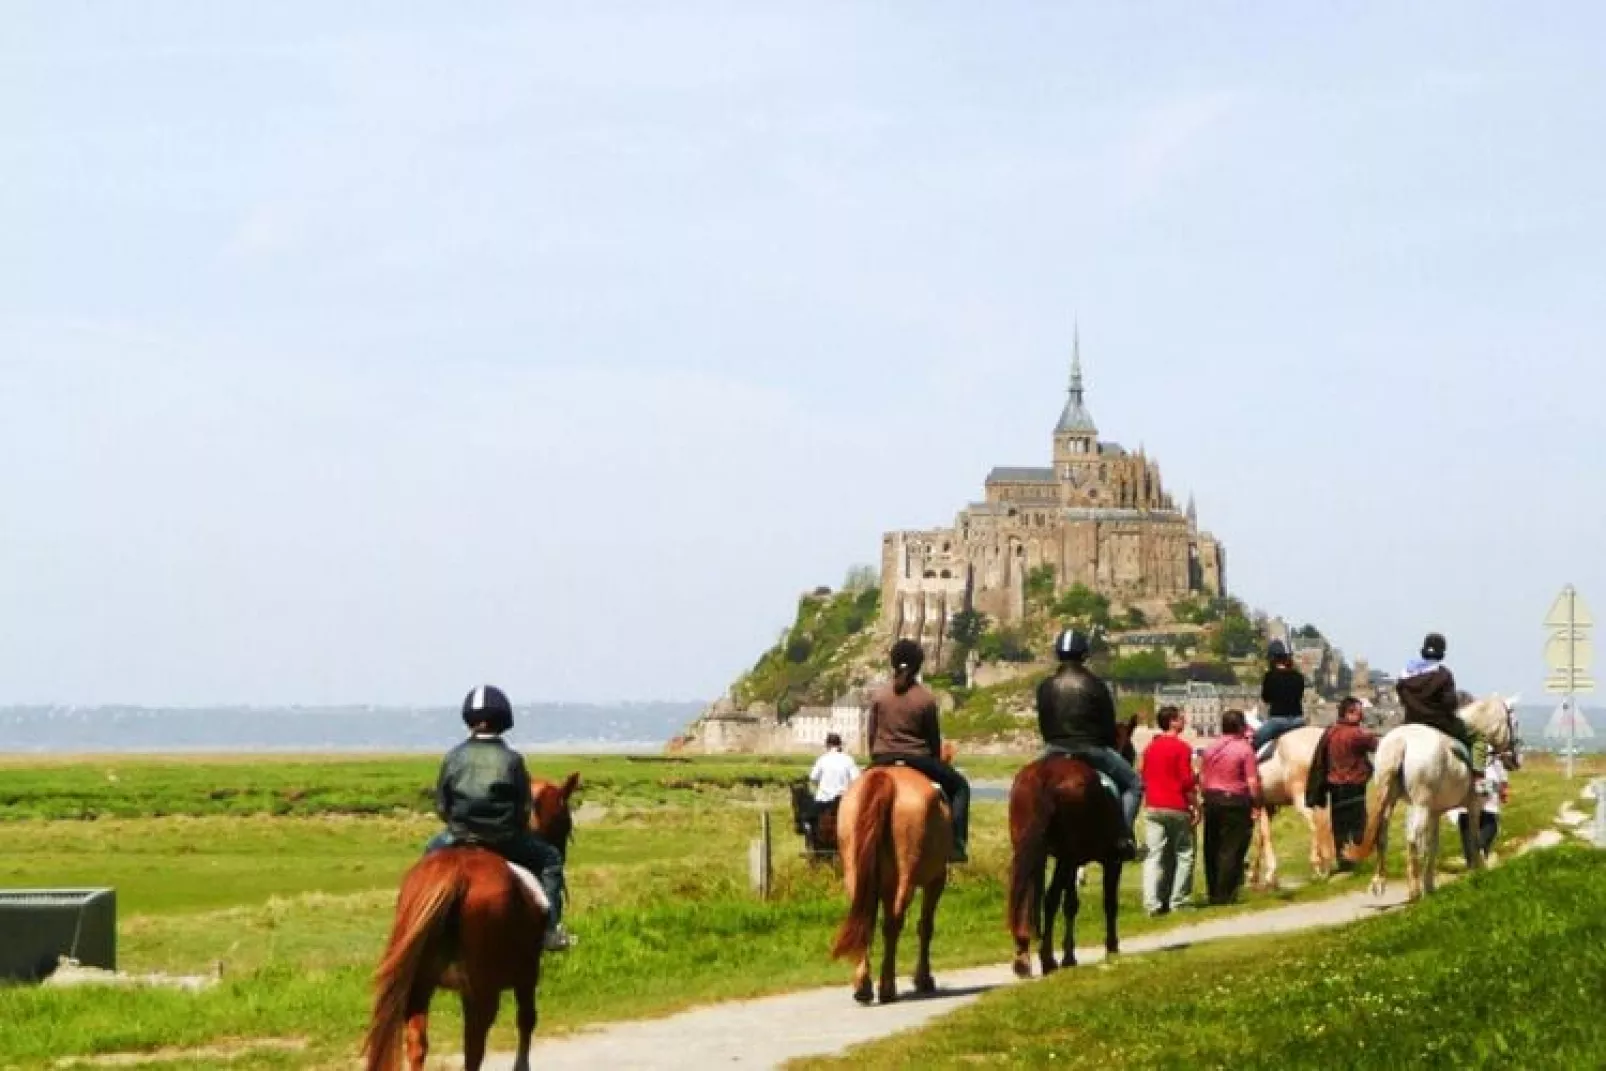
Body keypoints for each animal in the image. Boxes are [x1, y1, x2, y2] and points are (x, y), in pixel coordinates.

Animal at [362, 773, 578, 1071]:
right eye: (566, 820)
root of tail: (457, 873)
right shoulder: (527, 973)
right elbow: (527, 1019)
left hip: (421, 984)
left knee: (418, 1042)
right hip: (483, 990)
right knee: (474, 1047)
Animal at [828, 745, 950, 1008]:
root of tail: (886, 777)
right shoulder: (936, 879)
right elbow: (926, 926)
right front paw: (923, 978)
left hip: (856, 874)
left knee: (866, 919)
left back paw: (863, 987)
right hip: (906, 878)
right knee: (893, 923)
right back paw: (887, 987)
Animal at [1008, 719, 1137, 982]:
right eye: (1130, 750)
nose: (1130, 759)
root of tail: (1046, 776)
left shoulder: (1073, 861)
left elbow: (1071, 905)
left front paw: (1069, 955)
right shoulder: (1111, 861)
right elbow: (1109, 902)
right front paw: (1112, 948)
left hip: (1032, 852)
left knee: (1028, 895)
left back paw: (1023, 957)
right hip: (1066, 858)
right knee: (1049, 899)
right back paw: (1046, 959)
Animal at [1246, 725, 1336, 892]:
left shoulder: (1261, 806)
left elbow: (1264, 836)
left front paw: (1268, 876)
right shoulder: (1267, 806)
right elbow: (1262, 837)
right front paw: (1259, 877)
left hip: (1301, 797)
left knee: (1315, 825)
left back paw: (1318, 865)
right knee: (1326, 823)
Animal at [1342, 696, 1516, 905]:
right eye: (1514, 722)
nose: (1514, 758)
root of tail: (1401, 741)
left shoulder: (1435, 812)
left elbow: (1432, 845)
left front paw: (1430, 885)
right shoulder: (1473, 806)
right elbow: (1474, 838)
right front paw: (1479, 870)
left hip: (1392, 801)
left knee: (1382, 836)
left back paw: (1380, 882)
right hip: (1421, 805)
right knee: (1412, 840)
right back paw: (1415, 891)